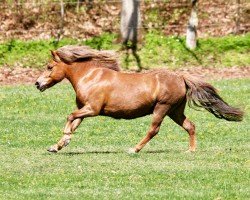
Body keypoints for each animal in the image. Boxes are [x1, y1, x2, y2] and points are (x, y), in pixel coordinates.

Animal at [35, 45, 244, 153]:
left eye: (49, 67)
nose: (37, 84)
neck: (91, 76)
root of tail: (181, 77)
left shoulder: (92, 109)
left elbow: (70, 117)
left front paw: (65, 139)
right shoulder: (85, 109)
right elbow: (74, 122)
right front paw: (57, 146)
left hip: (162, 108)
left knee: (154, 130)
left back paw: (134, 149)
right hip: (175, 111)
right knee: (190, 126)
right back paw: (191, 150)